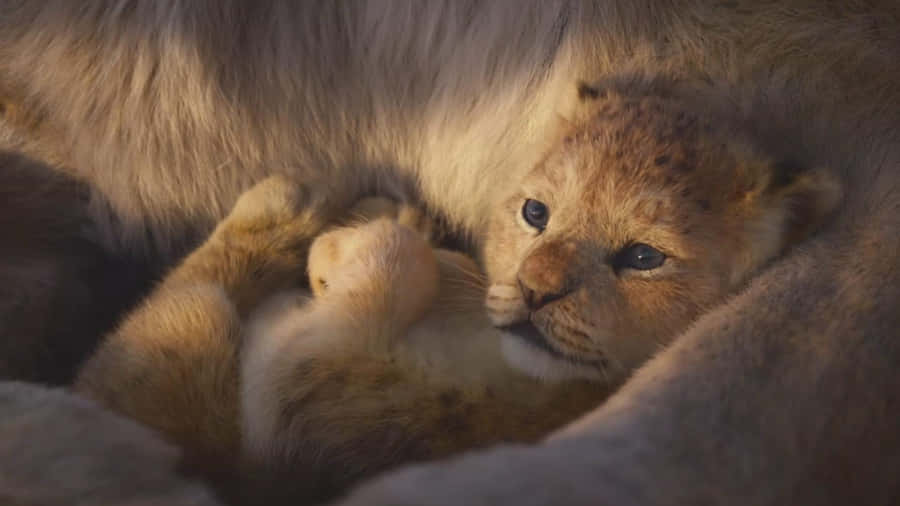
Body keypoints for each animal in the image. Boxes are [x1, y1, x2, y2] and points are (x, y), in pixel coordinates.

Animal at [1, 1, 900, 504]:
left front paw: (349, 242)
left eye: (644, 258)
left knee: (185, 304)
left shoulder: (309, 389)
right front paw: (367, 230)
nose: (534, 291)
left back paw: (294, 206)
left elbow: (376, 272)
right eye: (536, 212)